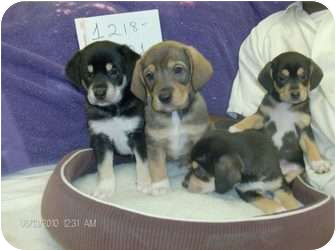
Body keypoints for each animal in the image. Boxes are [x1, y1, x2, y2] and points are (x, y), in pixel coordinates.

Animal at [65, 40, 150, 198]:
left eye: (114, 71)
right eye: (89, 74)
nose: (99, 92)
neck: (112, 111)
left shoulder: (138, 134)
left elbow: (142, 161)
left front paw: (145, 183)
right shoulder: (101, 138)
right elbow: (104, 166)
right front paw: (105, 188)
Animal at [131, 40, 213, 194]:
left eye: (178, 69)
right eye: (149, 75)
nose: (164, 97)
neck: (175, 115)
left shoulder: (197, 138)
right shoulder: (155, 144)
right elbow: (157, 167)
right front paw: (160, 186)